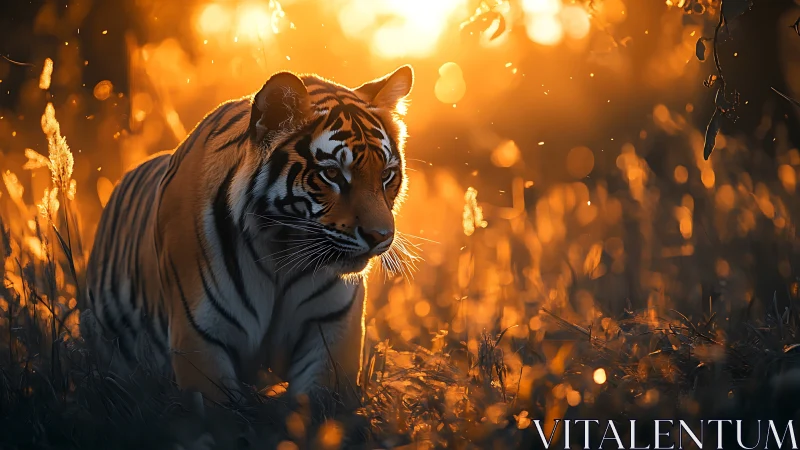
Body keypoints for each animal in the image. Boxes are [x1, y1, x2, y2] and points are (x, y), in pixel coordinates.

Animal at [81, 65, 414, 405]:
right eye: (332, 174)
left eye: (387, 175)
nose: (380, 236)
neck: (283, 249)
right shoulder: (201, 341)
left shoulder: (331, 335)